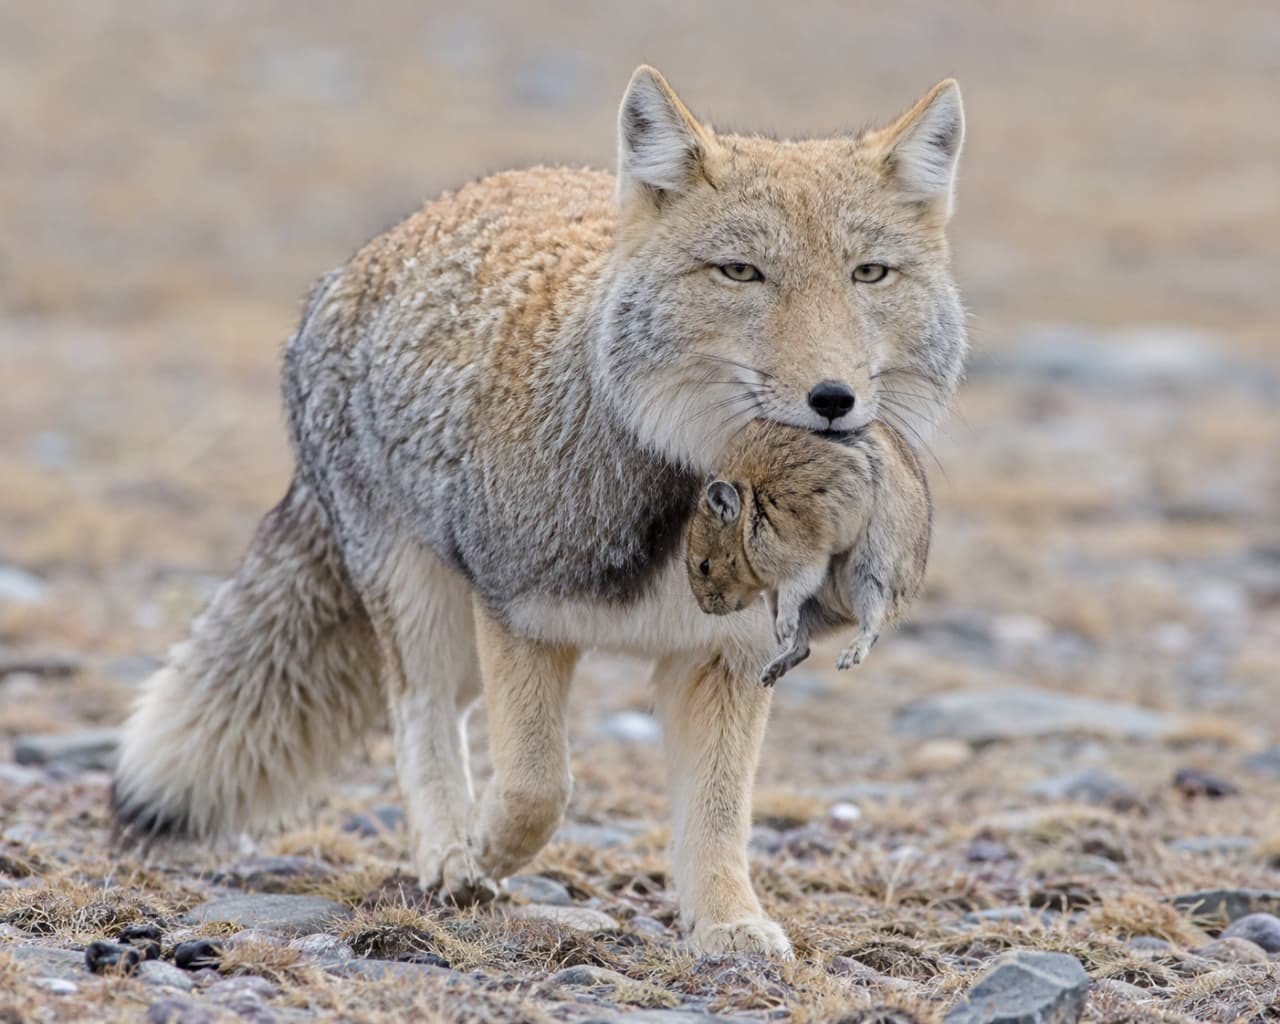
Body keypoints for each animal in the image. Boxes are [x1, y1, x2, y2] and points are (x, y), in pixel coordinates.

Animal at [686, 419, 931, 687]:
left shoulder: (806, 557)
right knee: (803, 648)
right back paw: (769, 673)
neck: (751, 508)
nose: (706, 609)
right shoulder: (777, 583)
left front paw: (783, 629)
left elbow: (795, 589)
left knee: (873, 622)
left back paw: (848, 656)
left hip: (873, 566)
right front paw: (780, 636)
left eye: (704, 566)